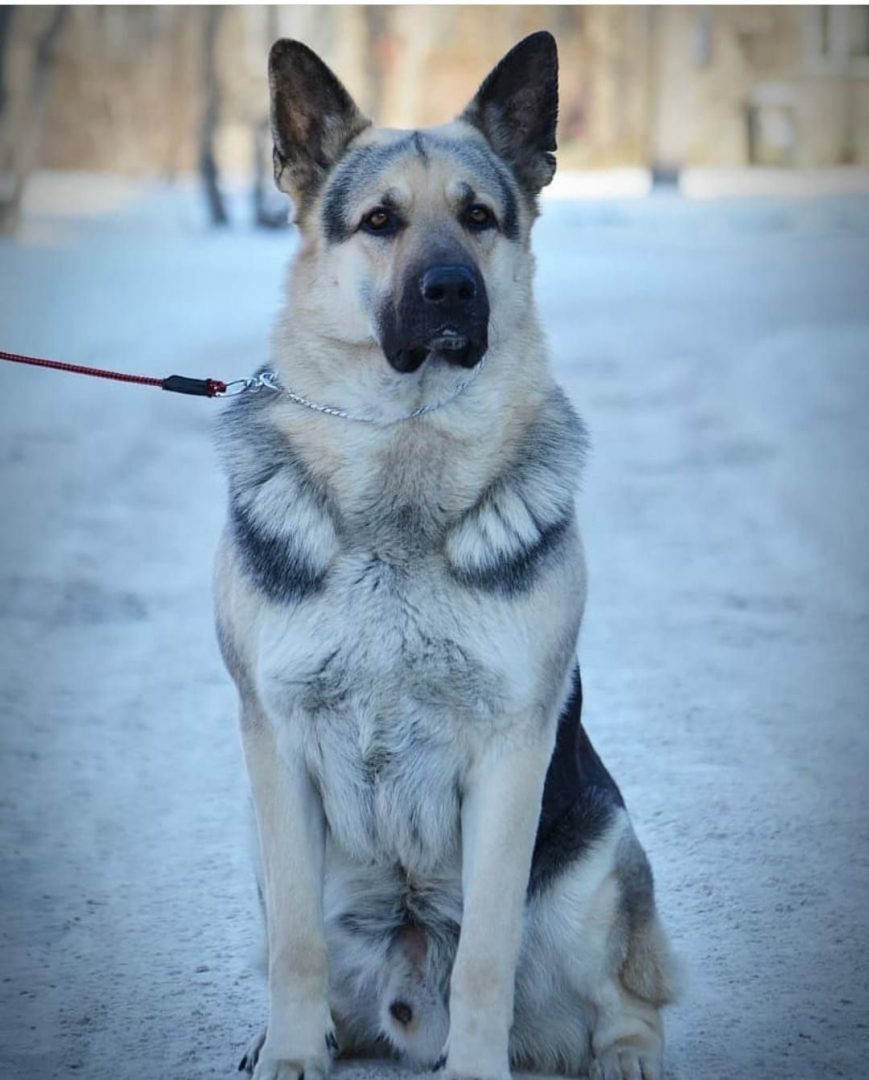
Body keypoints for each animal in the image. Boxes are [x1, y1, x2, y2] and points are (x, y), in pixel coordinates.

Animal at [214, 31, 677, 1080]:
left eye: (478, 219)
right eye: (379, 222)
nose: (450, 291)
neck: (403, 462)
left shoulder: (509, 754)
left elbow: (487, 959)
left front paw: (478, 1065)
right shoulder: (274, 747)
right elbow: (294, 945)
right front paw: (293, 1053)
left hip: (599, 858)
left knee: (629, 993)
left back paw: (625, 1052)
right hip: (262, 853)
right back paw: (289, 1037)